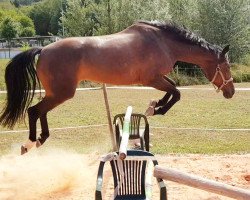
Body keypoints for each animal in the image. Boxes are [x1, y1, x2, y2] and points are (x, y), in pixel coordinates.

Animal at [0, 20, 234, 155]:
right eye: (226, 66)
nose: (230, 92)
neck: (163, 41)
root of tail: (43, 49)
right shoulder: (151, 79)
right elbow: (176, 93)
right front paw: (156, 108)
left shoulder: (156, 79)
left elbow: (173, 89)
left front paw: (154, 105)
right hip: (62, 93)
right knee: (34, 111)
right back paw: (29, 143)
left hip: (56, 93)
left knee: (41, 112)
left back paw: (40, 140)